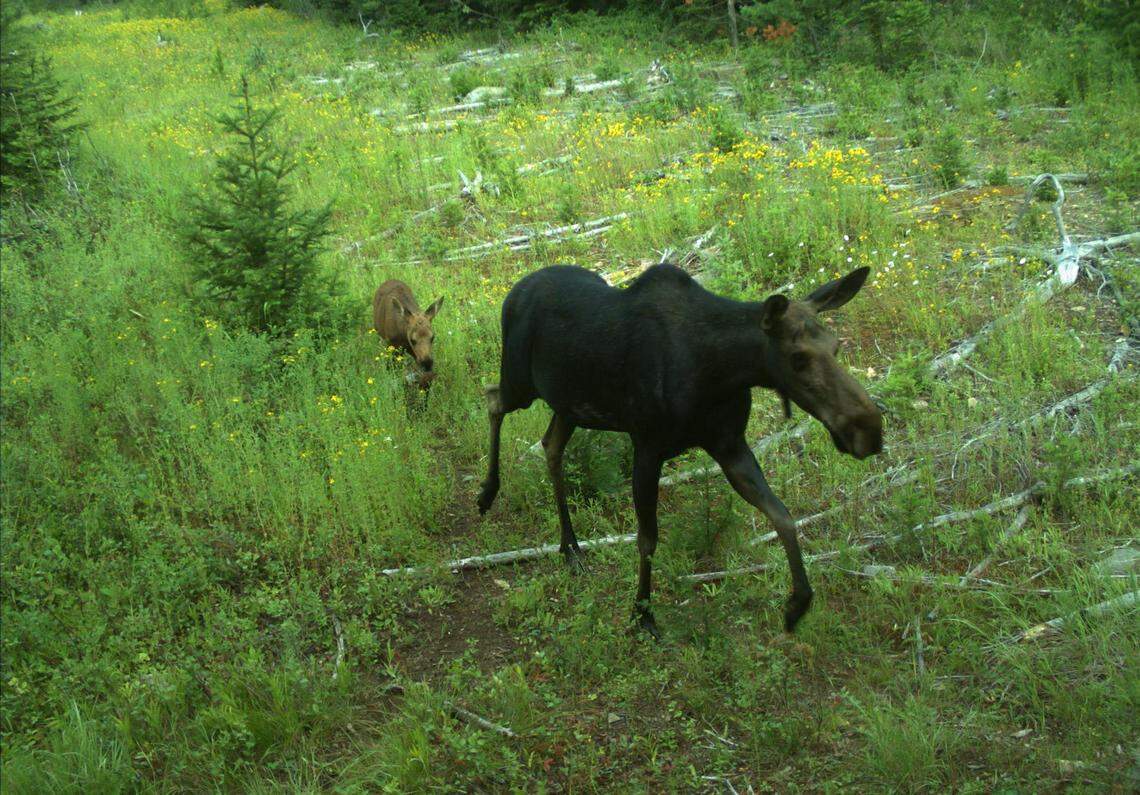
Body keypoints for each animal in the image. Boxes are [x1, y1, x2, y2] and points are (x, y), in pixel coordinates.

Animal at [476, 263, 882, 639]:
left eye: (836, 346)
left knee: (551, 445)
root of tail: (514, 291)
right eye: (798, 358)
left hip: (568, 402)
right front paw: (642, 613)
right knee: (493, 400)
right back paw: (487, 493)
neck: (719, 374)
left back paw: (570, 545)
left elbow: (783, 516)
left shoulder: (730, 445)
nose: (870, 431)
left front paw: (797, 603)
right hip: (520, 382)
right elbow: (648, 539)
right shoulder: (648, 446)